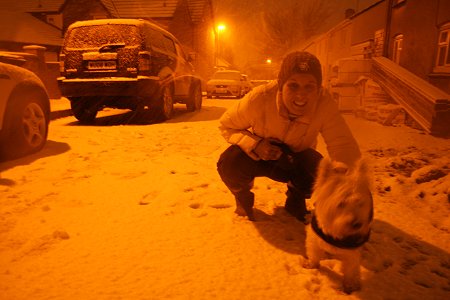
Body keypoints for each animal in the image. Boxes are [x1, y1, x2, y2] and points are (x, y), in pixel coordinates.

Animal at [304, 158, 374, 294]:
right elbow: (314, 254)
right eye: (341, 203)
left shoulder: (352, 252)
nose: (357, 224)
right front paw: (311, 266)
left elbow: (350, 269)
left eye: (360, 203)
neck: (337, 232)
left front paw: (350, 286)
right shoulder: (314, 240)